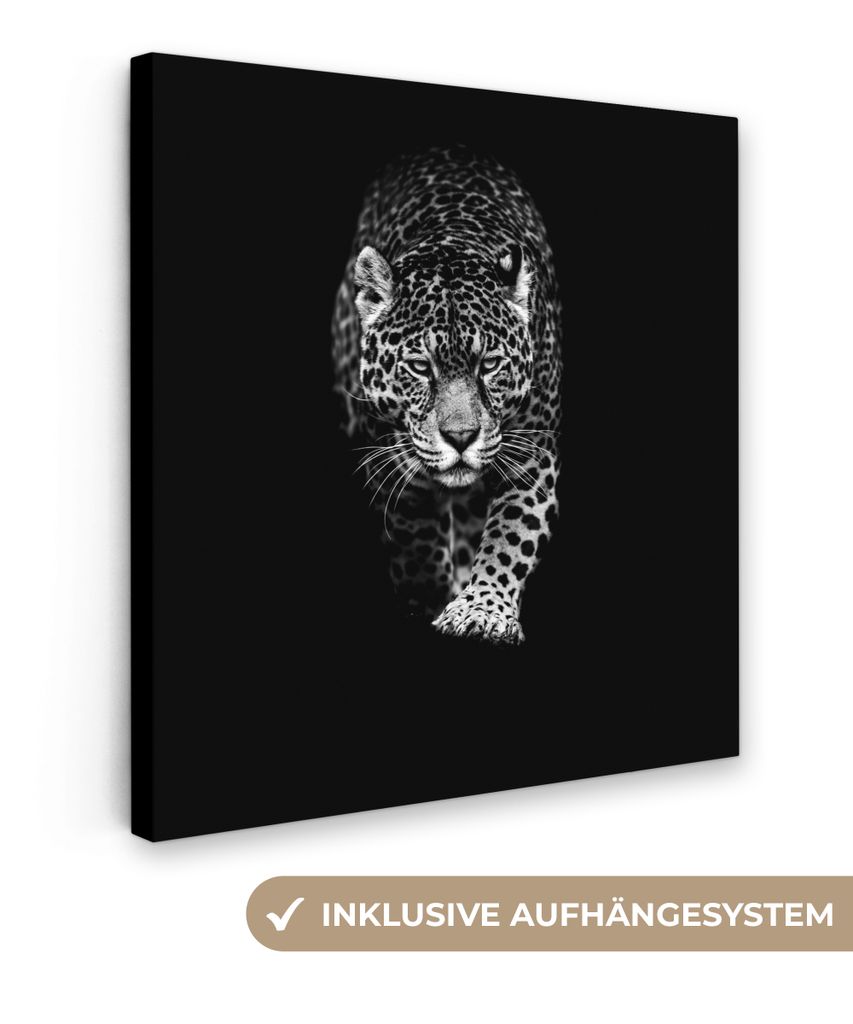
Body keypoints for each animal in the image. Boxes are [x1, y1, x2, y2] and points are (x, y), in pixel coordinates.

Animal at [331, 145, 562, 644]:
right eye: (421, 367)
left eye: (489, 365)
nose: (461, 438)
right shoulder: (393, 464)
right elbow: (415, 541)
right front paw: (429, 601)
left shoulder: (532, 455)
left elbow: (511, 535)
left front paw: (482, 610)